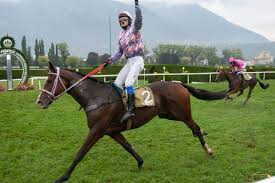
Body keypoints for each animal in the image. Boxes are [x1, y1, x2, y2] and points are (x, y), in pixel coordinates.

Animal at [35, 62, 227, 182]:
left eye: (50, 80)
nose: (39, 102)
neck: (96, 97)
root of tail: (178, 83)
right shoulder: (111, 131)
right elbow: (128, 146)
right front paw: (140, 162)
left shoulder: (97, 130)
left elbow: (80, 153)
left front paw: (62, 177)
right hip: (167, 114)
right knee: (195, 128)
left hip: (182, 114)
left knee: (195, 126)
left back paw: (209, 150)